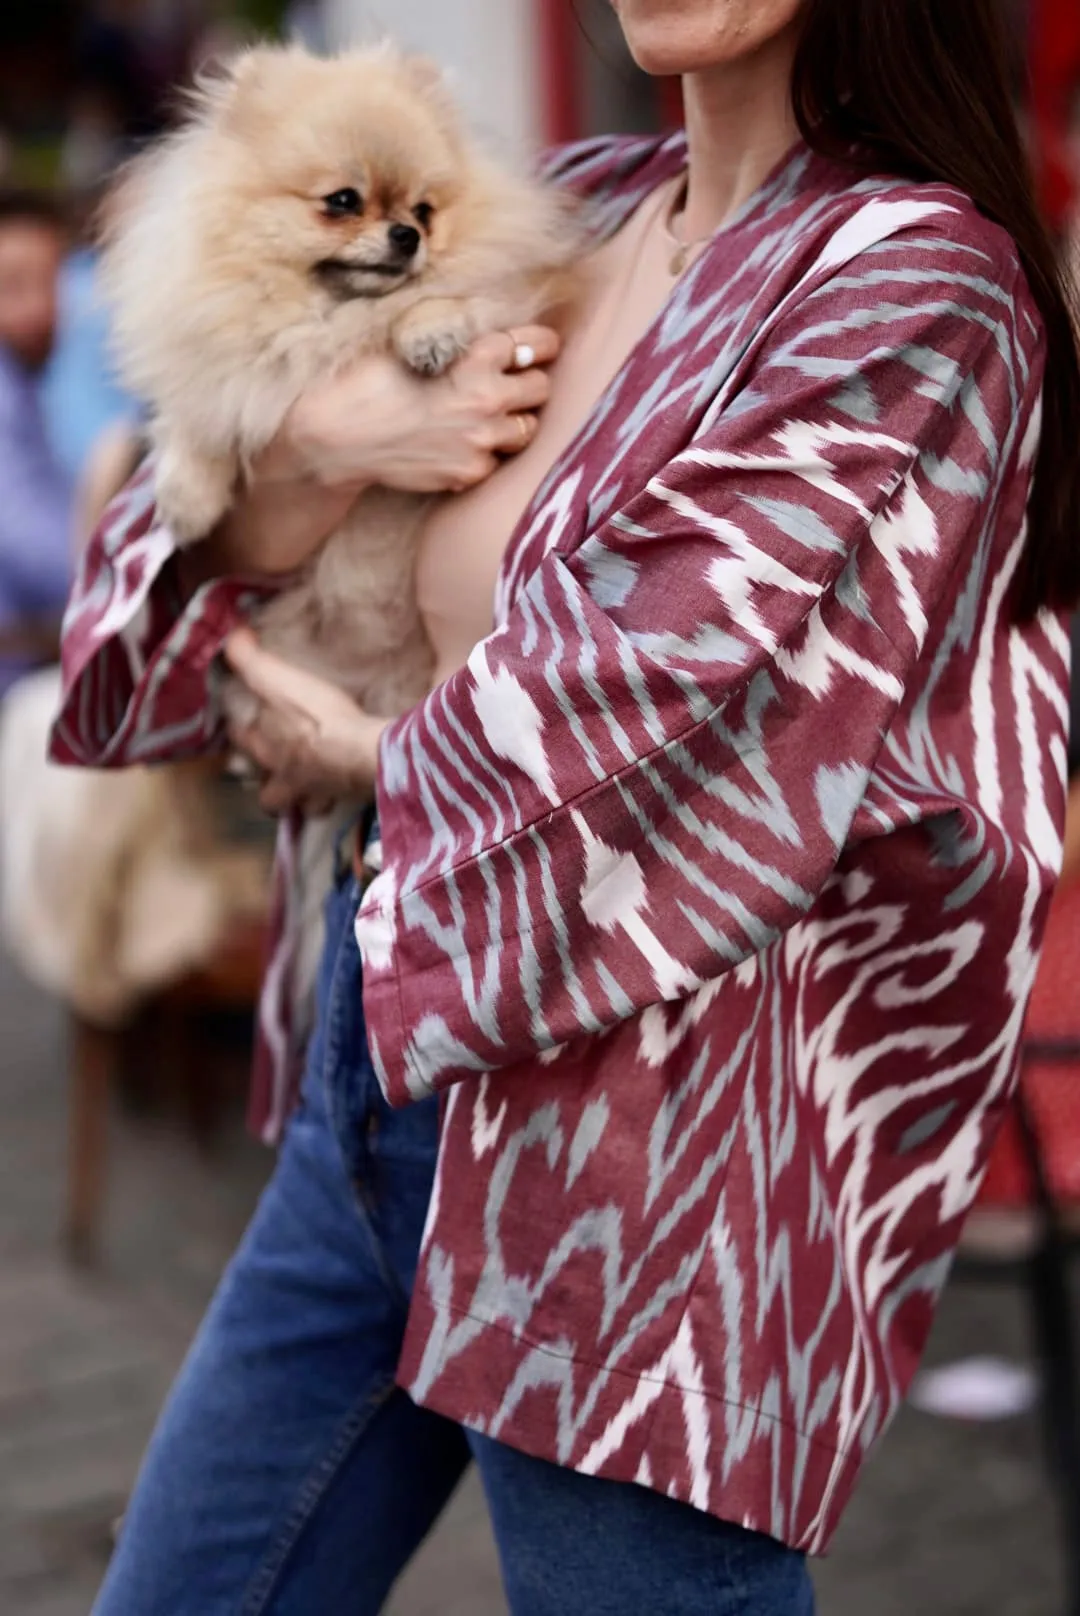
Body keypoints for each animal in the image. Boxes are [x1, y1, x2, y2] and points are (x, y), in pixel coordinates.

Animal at [99, 41, 582, 723]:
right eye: (343, 201)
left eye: (424, 212)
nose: (407, 235)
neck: (326, 321)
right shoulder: (225, 369)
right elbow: (198, 421)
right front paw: (186, 503)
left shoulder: (503, 305)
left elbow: (443, 298)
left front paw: (429, 330)